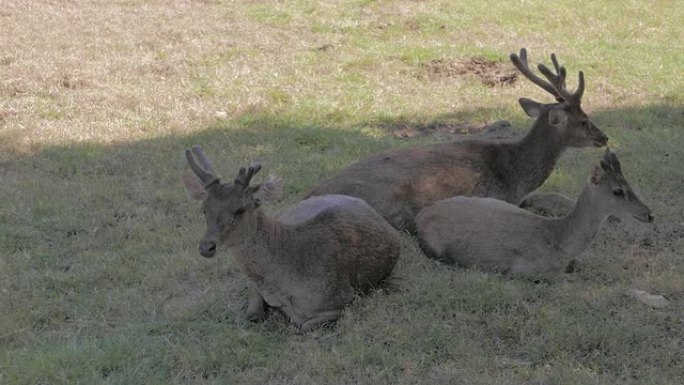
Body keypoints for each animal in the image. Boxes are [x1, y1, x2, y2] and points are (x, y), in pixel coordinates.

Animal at [184, 145, 404, 330]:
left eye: (240, 209)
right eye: (204, 209)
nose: (207, 247)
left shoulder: (342, 297)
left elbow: (302, 325)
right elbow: (253, 314)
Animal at [308, 47, 608, 231]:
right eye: (584, 120)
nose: (604, 137)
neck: (515, 173)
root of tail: (310, 194)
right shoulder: (497, 196)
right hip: (388, 198)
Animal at [414, 148, 656, 278]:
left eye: (628, 183)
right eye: (618, 190)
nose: (650, 214)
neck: (560, 242)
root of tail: (422, 214)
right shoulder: (522, 270)